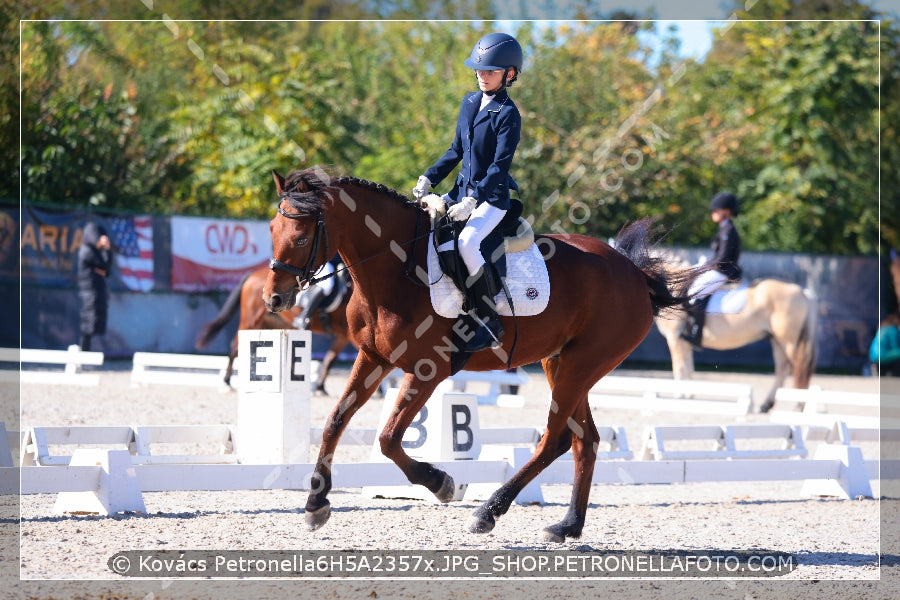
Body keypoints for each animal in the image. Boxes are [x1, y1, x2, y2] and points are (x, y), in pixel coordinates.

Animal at [195, 268, 354, 394]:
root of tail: (253, 275)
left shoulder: (343, 337)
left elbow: (329, 360)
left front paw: (320, 388)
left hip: (270, 323)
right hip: (251, 321)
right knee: (235, 346)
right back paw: (227, 382)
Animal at [260, 165, 712, 544]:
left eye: (301, 237)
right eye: (271, 229)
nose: (274, 299)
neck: (396, 268)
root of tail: (634, 273)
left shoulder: (427, 370)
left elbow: (389, 438)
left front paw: (440, 482)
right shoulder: (373, 357)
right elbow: (335, 421)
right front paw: (315, 504)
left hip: (580, 366)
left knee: (554, 439)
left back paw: (488, 512)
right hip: (562, 364)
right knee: (584, 440)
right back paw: (566, 526)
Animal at [652, 253, 816, 412]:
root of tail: (802, 292)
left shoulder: (674, 337)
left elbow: (679, 368)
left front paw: (678, 396)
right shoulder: (684, 341)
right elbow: (688, 368)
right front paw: (688, 395)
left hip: (789, 341)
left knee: (798, 367)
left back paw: (799, 404)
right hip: (777, 341)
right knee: (782, 370)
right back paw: (766, 405)